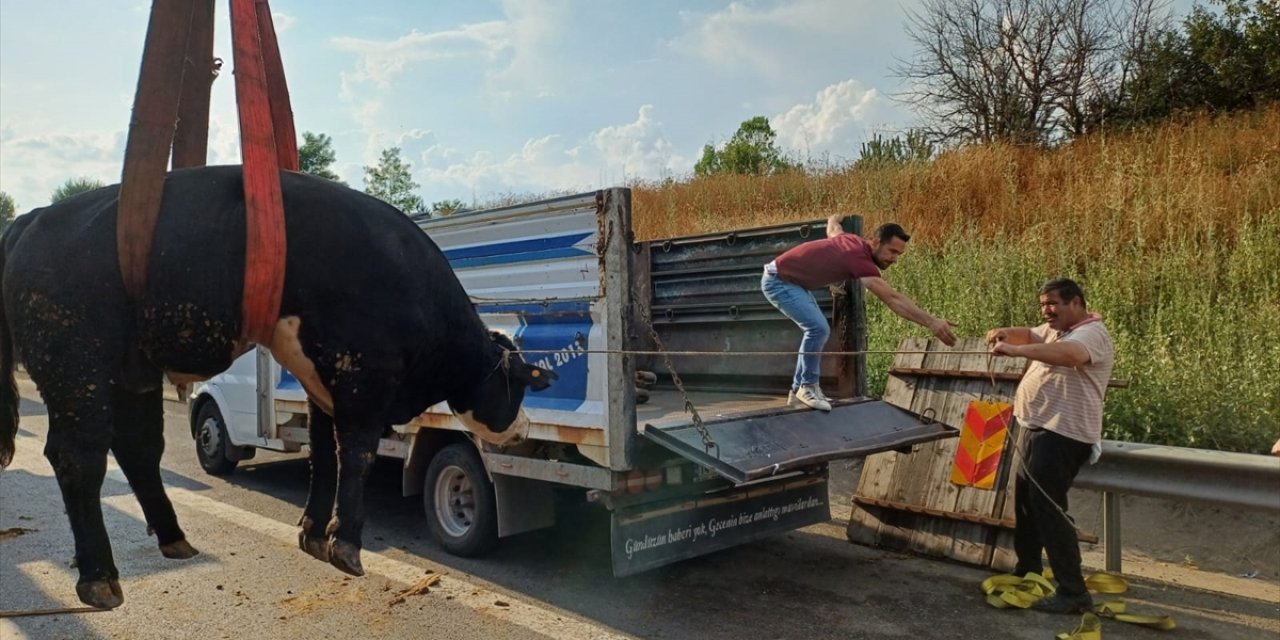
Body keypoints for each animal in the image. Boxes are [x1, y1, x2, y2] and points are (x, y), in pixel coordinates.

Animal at [0, 165, 552, 609]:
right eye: (521, 387)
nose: (524, 427)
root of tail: (35, 217)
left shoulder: (322, 381)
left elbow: (323, 456)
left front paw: (313, 534)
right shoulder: (364, 379)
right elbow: (357, 457)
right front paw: (346, 545)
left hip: (130, 372)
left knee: (138, 449)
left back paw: (173, 538)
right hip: (75, 367)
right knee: (77, 457)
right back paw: (98, 577)